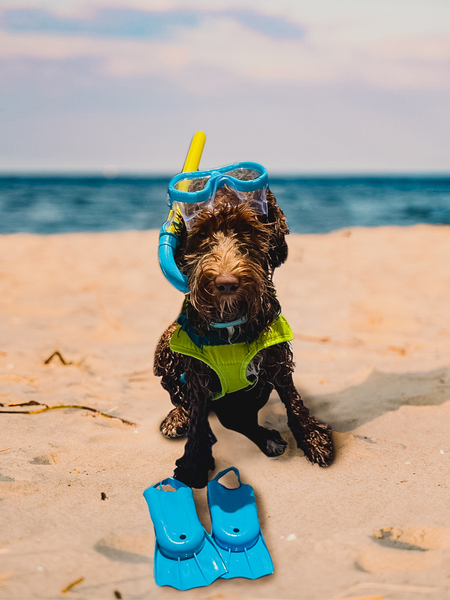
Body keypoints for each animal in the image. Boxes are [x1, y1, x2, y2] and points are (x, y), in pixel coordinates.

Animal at [155, 186, 334, 488]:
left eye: (247, 229)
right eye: (202, 233)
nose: (226, 283)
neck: (230, 319)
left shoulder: (276, 359)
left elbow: (293, 401)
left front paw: (312, 438)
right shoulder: (198, 375)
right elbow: (197, 419)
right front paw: (193, 462)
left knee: (239, 420)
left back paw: (267, 440)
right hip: (165, 346)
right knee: (185, 402)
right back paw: (177, 418)